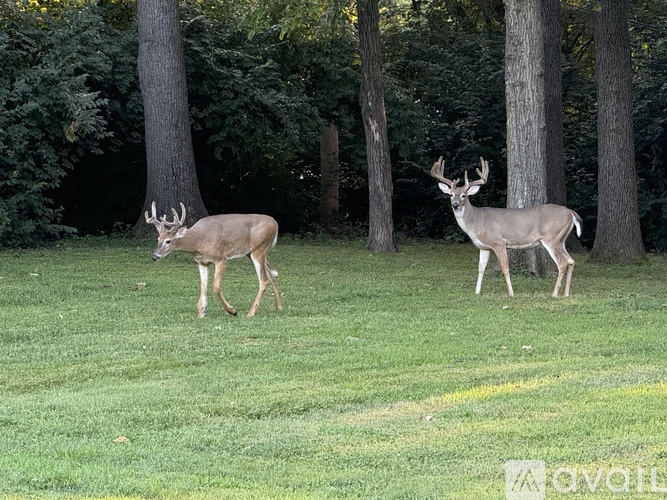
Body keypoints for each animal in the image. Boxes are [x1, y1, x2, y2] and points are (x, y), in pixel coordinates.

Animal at [145, 201, 282, 318]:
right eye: (158, 239)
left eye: (168, 241)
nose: (155, 256)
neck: (198, 242)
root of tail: (275, 224)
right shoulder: (201, 262)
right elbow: (203, 286)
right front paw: (201, 311)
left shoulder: (221, 258)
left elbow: (216, 286)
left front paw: (232, 310)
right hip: (253, 252)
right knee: (274, 273)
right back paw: (279, 308)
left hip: (258, 249)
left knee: (264, 280)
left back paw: (251, 312)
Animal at [431, 157, 583, 297]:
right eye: (451, 195)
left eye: (463, 195)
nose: (455, 205)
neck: (476, 221)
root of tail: (571, 212)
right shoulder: (484, 247)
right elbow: (481, 269)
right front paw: (477, 292)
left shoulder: (499, 242)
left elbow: (505, 268)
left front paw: (511, 293)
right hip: (561, 240)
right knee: (571, 261)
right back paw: (566, 293)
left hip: (552, 238)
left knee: (562, 263)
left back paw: (554, 293)